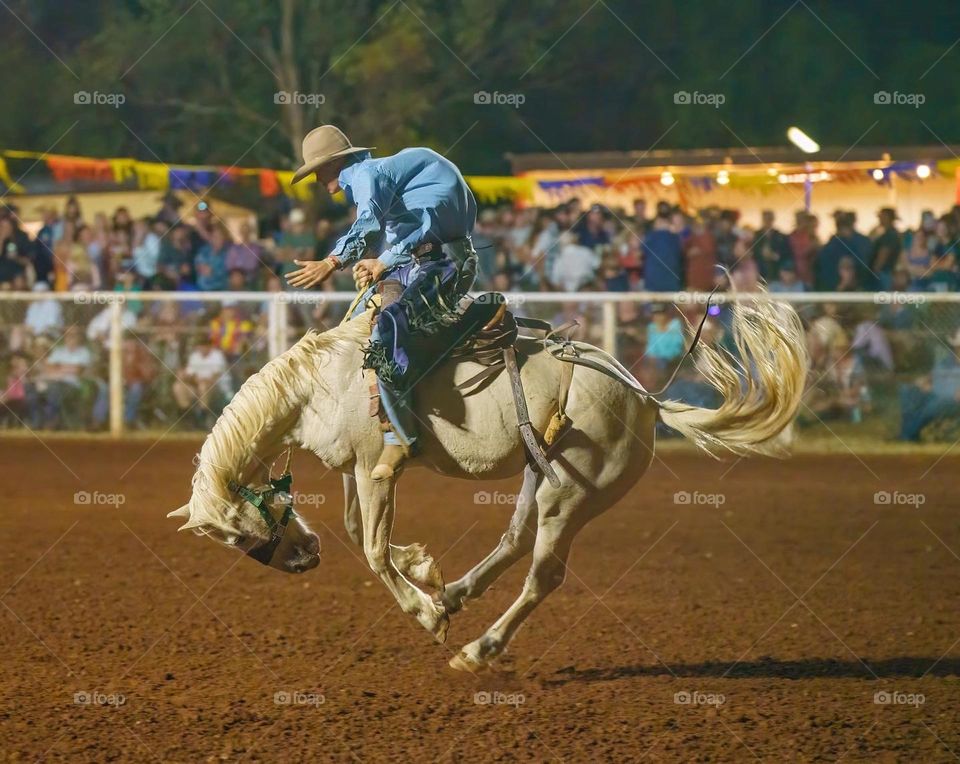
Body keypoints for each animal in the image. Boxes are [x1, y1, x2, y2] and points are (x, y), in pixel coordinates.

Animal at [169, 296, 808, 672]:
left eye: (238, 537)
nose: (304, 561)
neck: (318, 384)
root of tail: (642, 396)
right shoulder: (356, 468)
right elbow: (357, 530)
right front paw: (424, 570)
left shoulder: (376, 464)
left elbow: (372, 548)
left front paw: (426, 613)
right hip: (540, 475)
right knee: (515, 539)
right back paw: (454, 593)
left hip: (570, 495)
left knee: (543, 574)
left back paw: (478, 649)